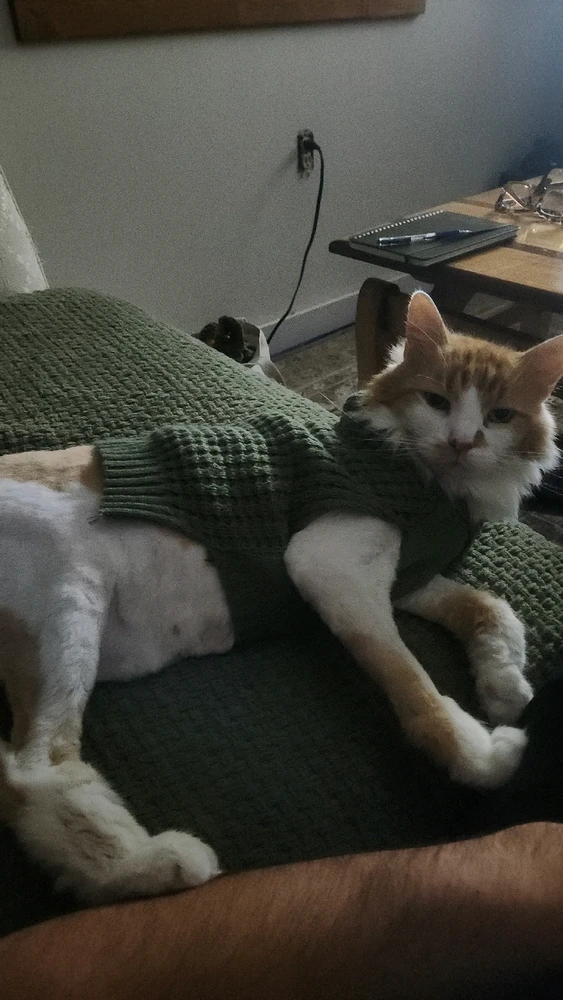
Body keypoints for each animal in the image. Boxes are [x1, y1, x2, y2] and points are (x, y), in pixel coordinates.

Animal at [0, 290, 562, 906]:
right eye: (437, 400)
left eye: (499, 416)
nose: (462, 442)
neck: (431, 485)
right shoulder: (326, 565)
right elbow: (415, 685)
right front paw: (482, 753)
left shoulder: (404, 580)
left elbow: (491, 607)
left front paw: (505, 684)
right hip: (68, 606)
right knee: (34, 769)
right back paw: (155, 863)